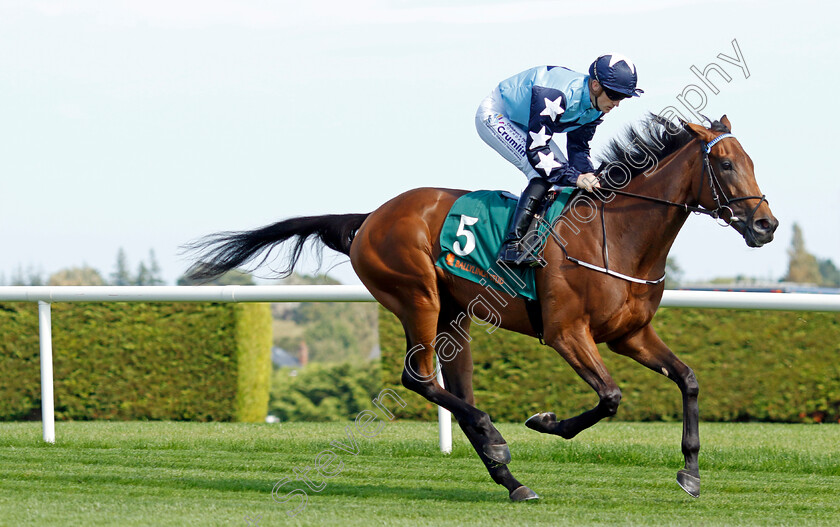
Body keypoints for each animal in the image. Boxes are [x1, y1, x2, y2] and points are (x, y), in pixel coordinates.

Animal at [187, 115, 776, 504]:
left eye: (752, 161)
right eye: (725, 164)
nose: (765, 225)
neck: (618, 235)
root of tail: (370, 217)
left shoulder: (629, 335)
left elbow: (689, 380)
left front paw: (691, 473)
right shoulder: (566, 332)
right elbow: (609, 397)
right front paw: (544, 421)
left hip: (455, 315)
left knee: (457, 391)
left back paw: (509, 478)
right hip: (418, 297)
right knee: (418, 378)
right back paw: (497, 441)